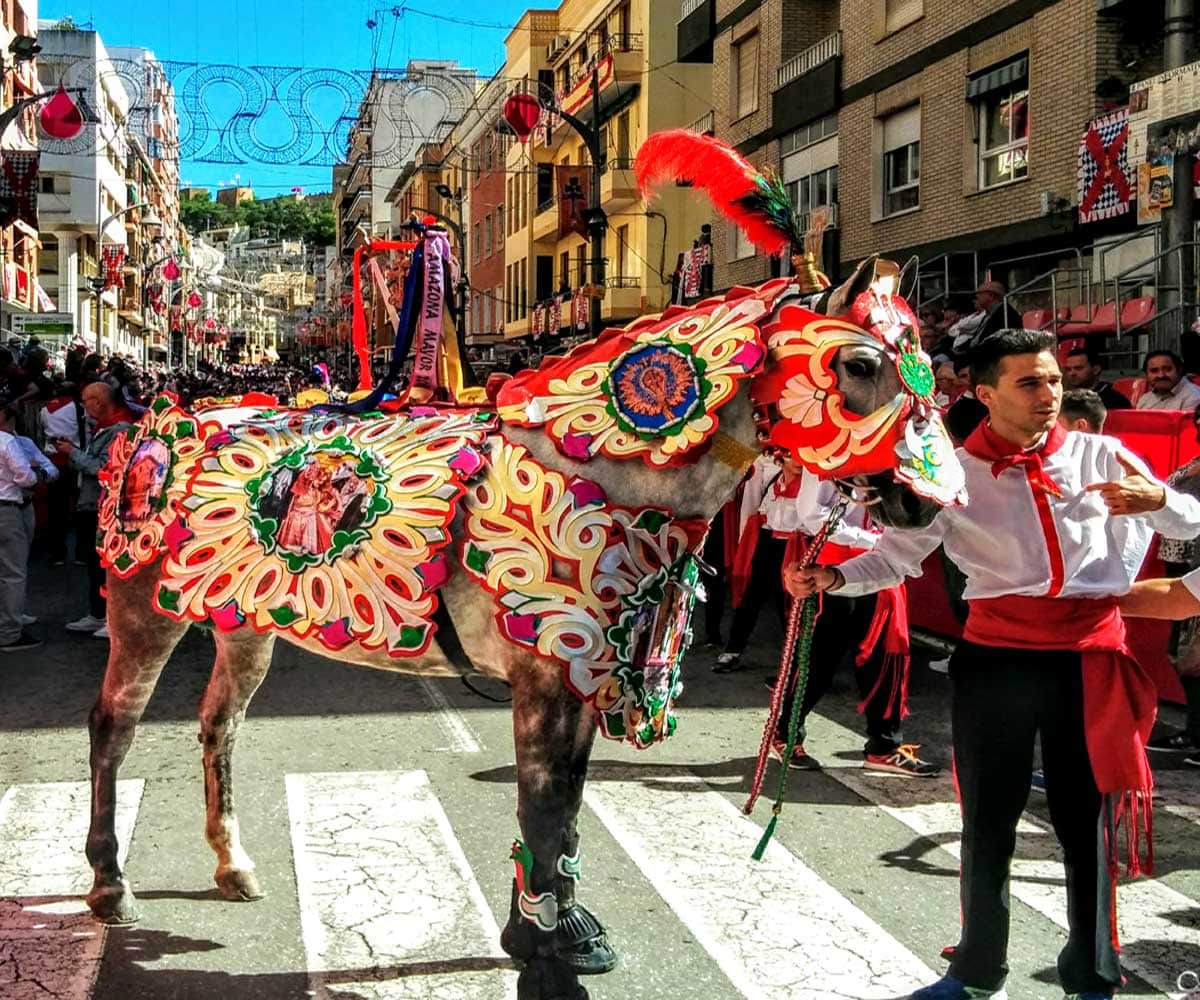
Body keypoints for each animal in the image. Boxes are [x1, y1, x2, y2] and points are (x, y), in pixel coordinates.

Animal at [84, 132, 964, 998]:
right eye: (859, 366)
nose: (928, 503)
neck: (599, 463)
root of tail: (152, 422)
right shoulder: (550, 674)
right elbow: (548, 802)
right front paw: (551, 936)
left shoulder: (590, 672)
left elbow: (561, 807)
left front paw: (551, 921)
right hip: (143, 611)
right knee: (112, 728)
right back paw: (108, 883)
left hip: (243, 621)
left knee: (218, 727)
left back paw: (231, 865)